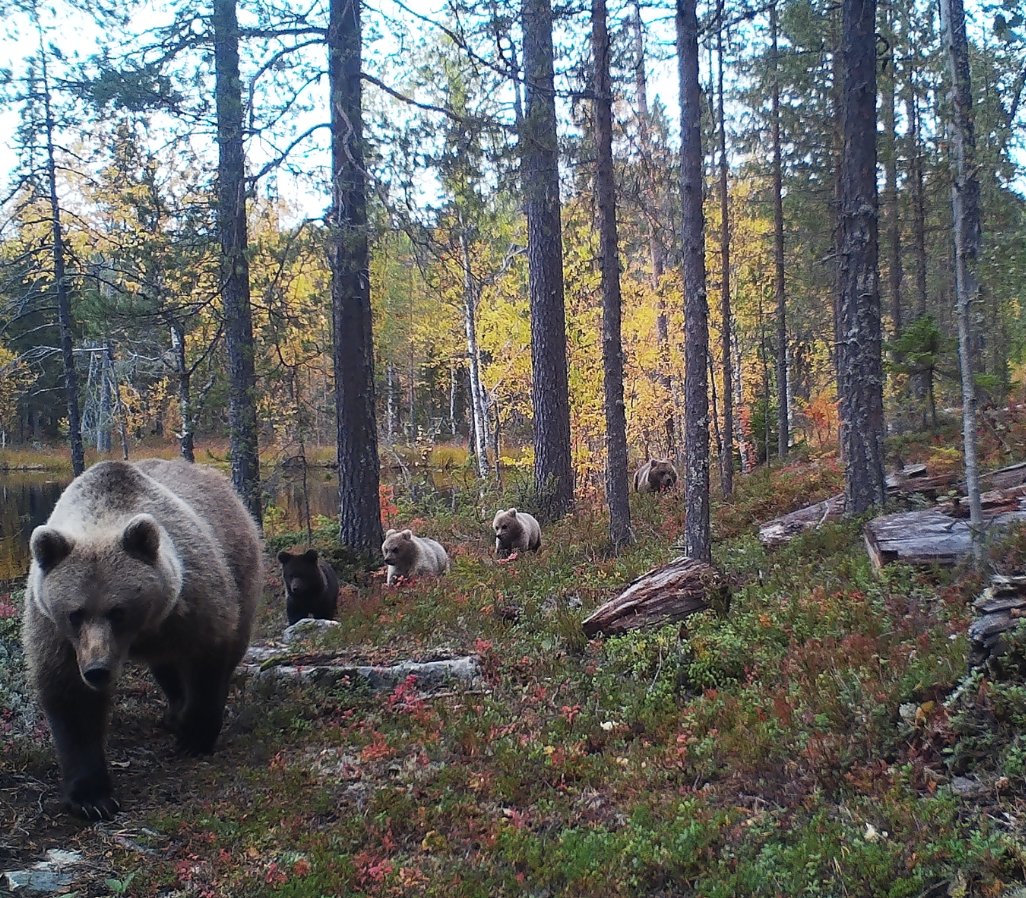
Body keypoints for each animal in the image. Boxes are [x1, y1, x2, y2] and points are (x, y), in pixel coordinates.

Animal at [21, 459, 262, 821]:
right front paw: (92, 798)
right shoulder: (53, 630)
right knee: (167, 669)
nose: (98, 670)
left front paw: (194, 737)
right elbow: (70, 696)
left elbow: (207, 659)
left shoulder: (192, 601)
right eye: (75, 613)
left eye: (117, 611)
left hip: (240, 565)